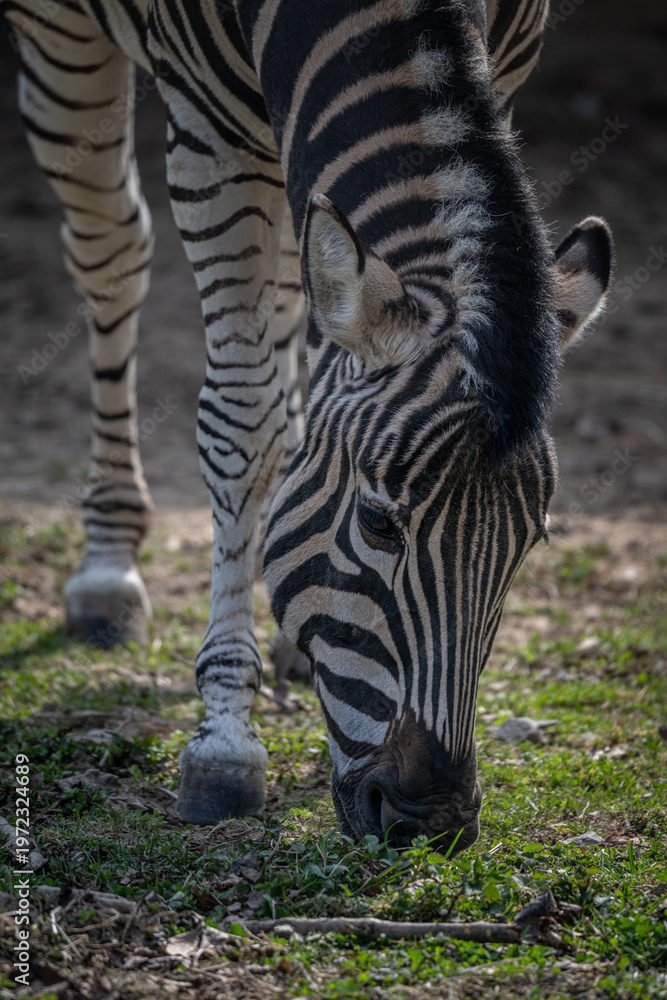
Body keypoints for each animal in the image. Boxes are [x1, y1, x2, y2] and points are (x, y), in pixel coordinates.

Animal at [2, 0, 613, 851]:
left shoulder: (506, 66)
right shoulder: (208, 127)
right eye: (379, 522)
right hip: (65, 45)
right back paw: (107, 563)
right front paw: (225, 739)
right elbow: (241, 414)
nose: (432, 822)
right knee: (110, 252)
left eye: (528, 544)